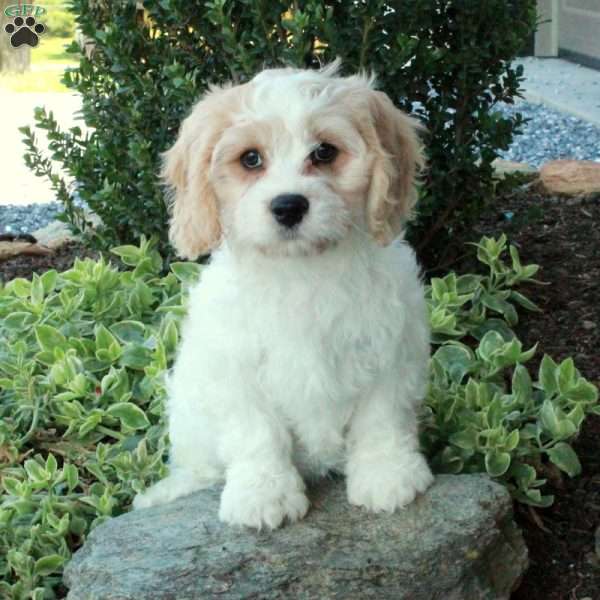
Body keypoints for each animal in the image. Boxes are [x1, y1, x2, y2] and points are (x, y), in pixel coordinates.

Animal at [135, 62, 436, 528]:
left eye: (325, 152)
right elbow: (257, 432)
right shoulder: (236, 368)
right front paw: (263, 494)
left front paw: (388, 474)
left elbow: (381, 417)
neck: (301, 269)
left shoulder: (391, 350)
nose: (288, 206)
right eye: (251, 158)